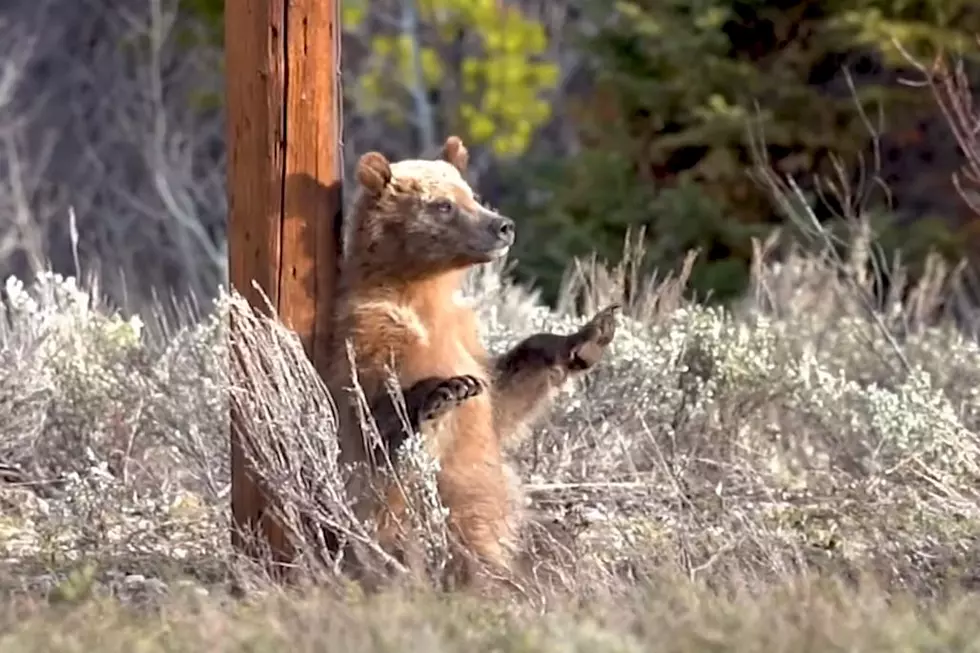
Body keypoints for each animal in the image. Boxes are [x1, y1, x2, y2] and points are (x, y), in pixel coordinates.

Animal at [328, 135, 620, 588]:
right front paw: (444, 391)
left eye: (471, 195)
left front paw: (591, 335)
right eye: (442, 205)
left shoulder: (464, 335)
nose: (502, 225)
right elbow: (369, 415)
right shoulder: (370, 334)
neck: (421, 292)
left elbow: (502, 397)